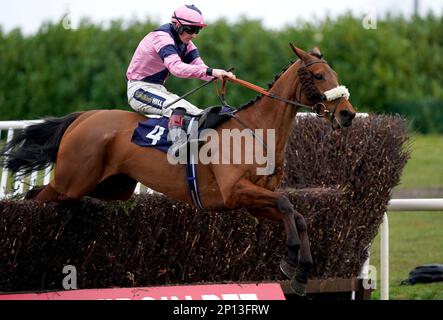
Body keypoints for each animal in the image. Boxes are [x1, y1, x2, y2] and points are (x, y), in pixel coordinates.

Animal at [0, 45, 358, 296]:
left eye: (334, 73)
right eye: (319, 76)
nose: (348, 114)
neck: (257, 130)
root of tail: (84, 116)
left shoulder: (255, 201)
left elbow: (297, 215)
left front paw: (300, 271)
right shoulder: (236, 192)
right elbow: (286, 203)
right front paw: (291, 259)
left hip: (110, 186)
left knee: (42, 196)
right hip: (73, 180)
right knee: (38, 199)